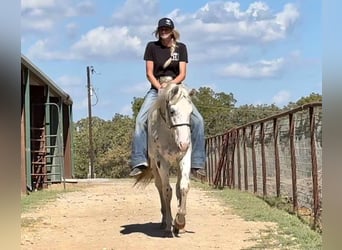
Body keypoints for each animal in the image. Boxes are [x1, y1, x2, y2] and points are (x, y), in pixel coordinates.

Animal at [135, 83, 194, 237]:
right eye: (172, 111)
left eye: (191, 112)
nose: (184, 144)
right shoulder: (162, 161)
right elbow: (167, 190)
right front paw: (169, 225)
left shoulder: (184, 157)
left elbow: (183, 187)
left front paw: (180, 222)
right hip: (155, 167)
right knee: (160, 187)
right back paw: (163, 222)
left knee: (178, 187)